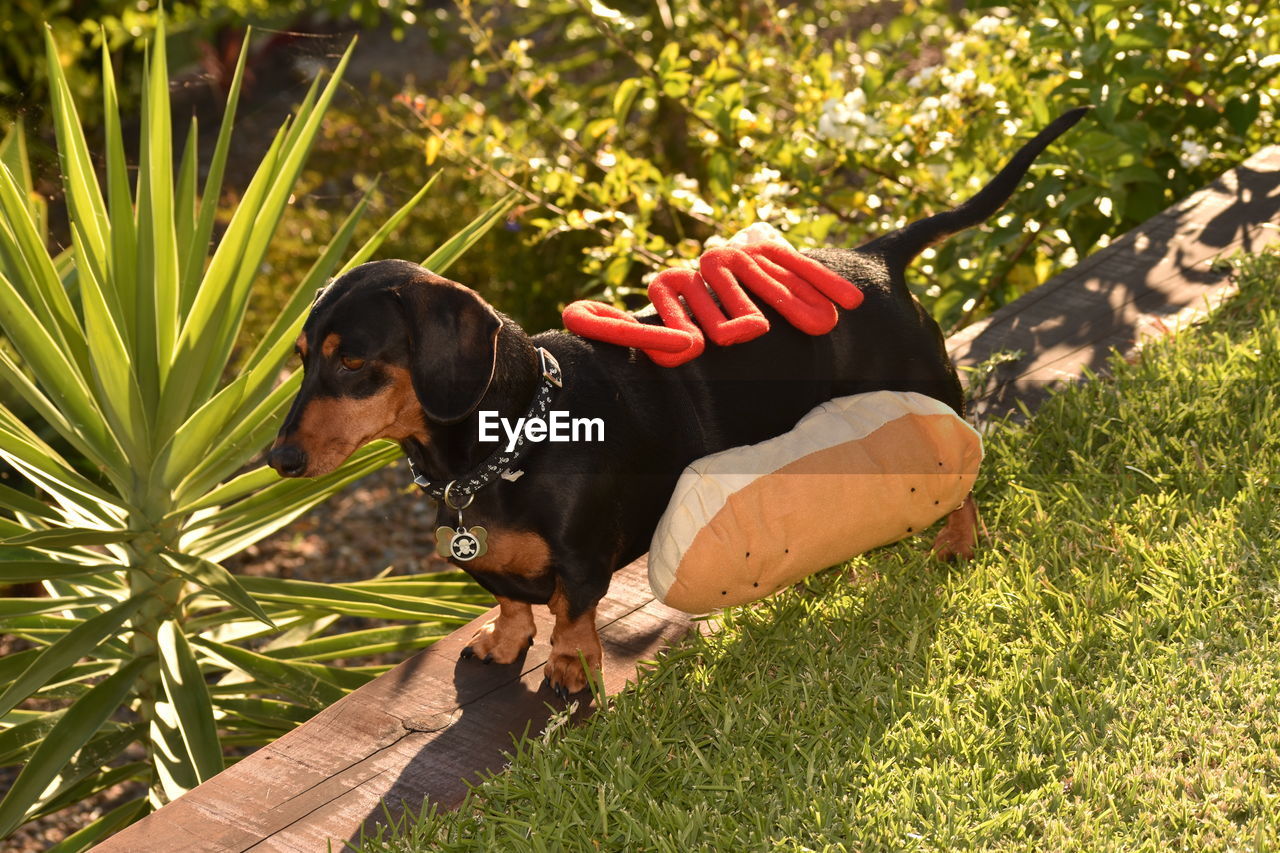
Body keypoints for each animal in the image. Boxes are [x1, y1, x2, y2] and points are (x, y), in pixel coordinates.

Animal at [272, 108, 1090, 691]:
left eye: (354, 362)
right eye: (303, 359)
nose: (277, 459)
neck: (507, 446)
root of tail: (875, 257)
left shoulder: (583, 561)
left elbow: (571, 615)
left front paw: (569, 671)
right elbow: (510, 604)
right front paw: (503, 643)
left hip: (929, 396)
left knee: (962, 473)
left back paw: (957, 541)